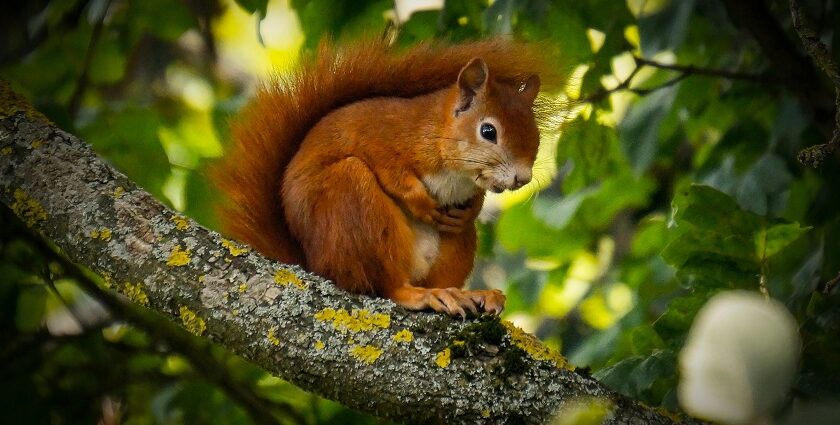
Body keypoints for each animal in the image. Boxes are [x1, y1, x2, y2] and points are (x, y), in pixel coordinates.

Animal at [215, 39, 556, 316]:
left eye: (536, 135)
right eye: (488, 131)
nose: (522, 178)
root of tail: (314, 264)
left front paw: (470, 210)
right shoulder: (376, 135)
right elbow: (391, 171)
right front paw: (420, 202)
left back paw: (467, 293)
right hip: (352, 203)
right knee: (386, 286)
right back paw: (420, 294)